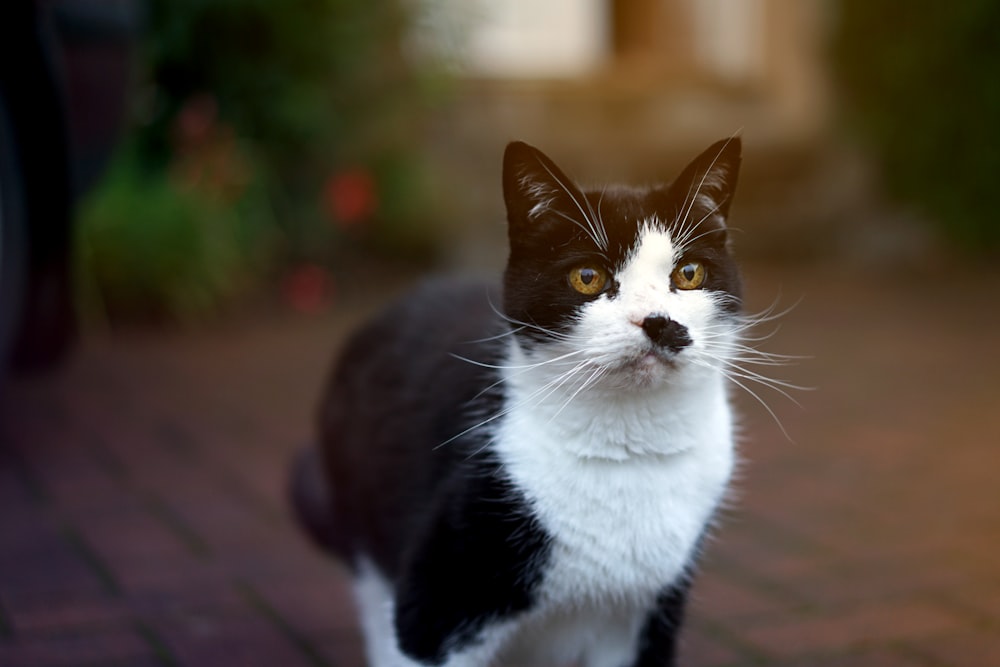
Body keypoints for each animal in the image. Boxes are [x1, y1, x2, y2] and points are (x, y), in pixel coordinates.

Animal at [292, 137, 748, 667]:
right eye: (587, 277)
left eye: (689, 272)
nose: (659, 322)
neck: (630, 447)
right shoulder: (437, 606)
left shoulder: (646, 617)